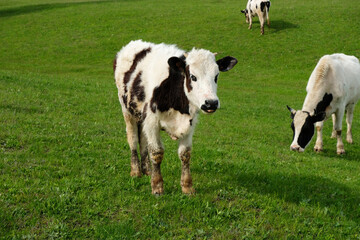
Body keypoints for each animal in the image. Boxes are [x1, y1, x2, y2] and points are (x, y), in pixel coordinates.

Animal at [114, 39, 238, 195]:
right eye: (193, 77)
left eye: (216, 76)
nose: (211, 103)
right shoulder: (152, 121)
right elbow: (156, 152)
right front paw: (157, 186)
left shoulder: (189, 124)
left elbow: (185, 154)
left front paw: (187, 186)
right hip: (126, 110)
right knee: (133, 139)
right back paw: (136, 171)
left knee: (143, 140)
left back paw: (147, 170)